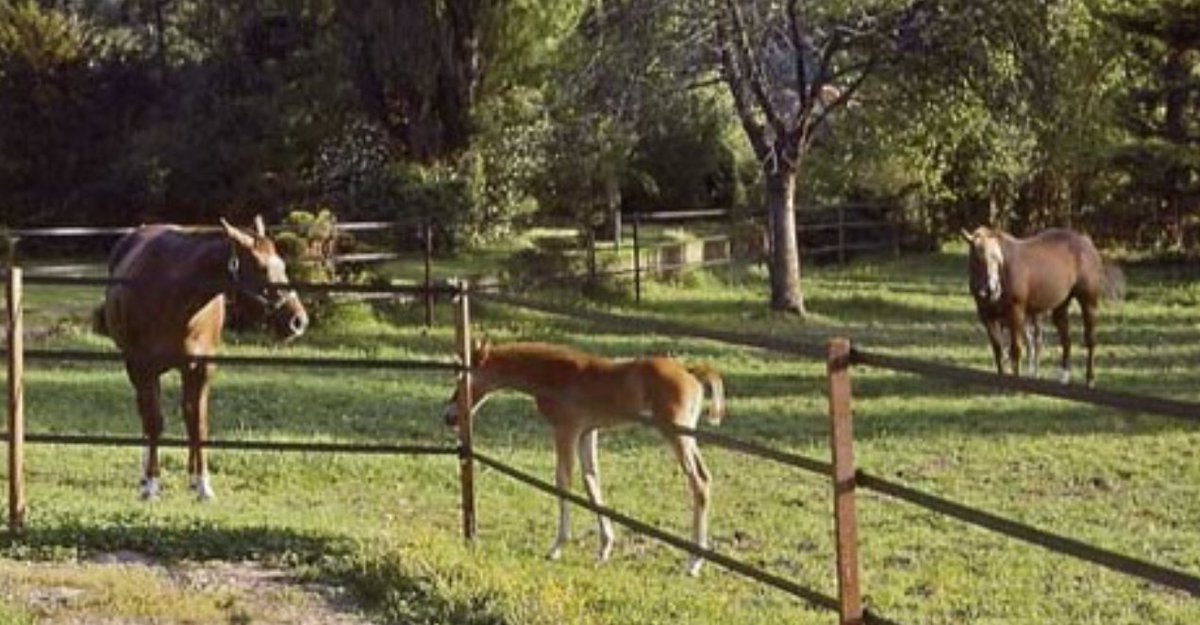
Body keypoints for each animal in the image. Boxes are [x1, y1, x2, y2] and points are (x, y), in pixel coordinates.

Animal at [95, 216, 309, 500]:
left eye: (283, 266)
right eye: (262, 268)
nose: (298, 321)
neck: (174, 296)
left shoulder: (202, 368)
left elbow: (198, 423)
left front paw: (202, 485)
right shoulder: (143, 368)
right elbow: (154, 423)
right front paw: (151, 484)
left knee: (186, 415)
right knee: (146, 416)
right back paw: (144, 476)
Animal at [441, 340, 726, 576]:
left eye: (463, 378)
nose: (449, 416)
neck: (553, 374)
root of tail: (690, 371)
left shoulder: (566, 429)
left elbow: (563, 483)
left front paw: (557, 547)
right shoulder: (588, 433)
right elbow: (592, 482)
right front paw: (605, 549)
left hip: (676, 434)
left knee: (699, 482)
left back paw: (694, 563)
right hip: (687, 436)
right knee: (705, 477)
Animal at [962, 226, 1123, 387]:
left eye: (998, 260)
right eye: (978, 258)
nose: (993, 289)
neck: (1005, 273)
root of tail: (1087, 243)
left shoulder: (1016, 315)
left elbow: (1016, 350)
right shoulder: (987, 318)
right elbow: (998, 350)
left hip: (1089, 303)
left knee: (1090, 341)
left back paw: (1090, 380)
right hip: (1060, 307)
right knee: (1066, 340)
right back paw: (1064, 378)